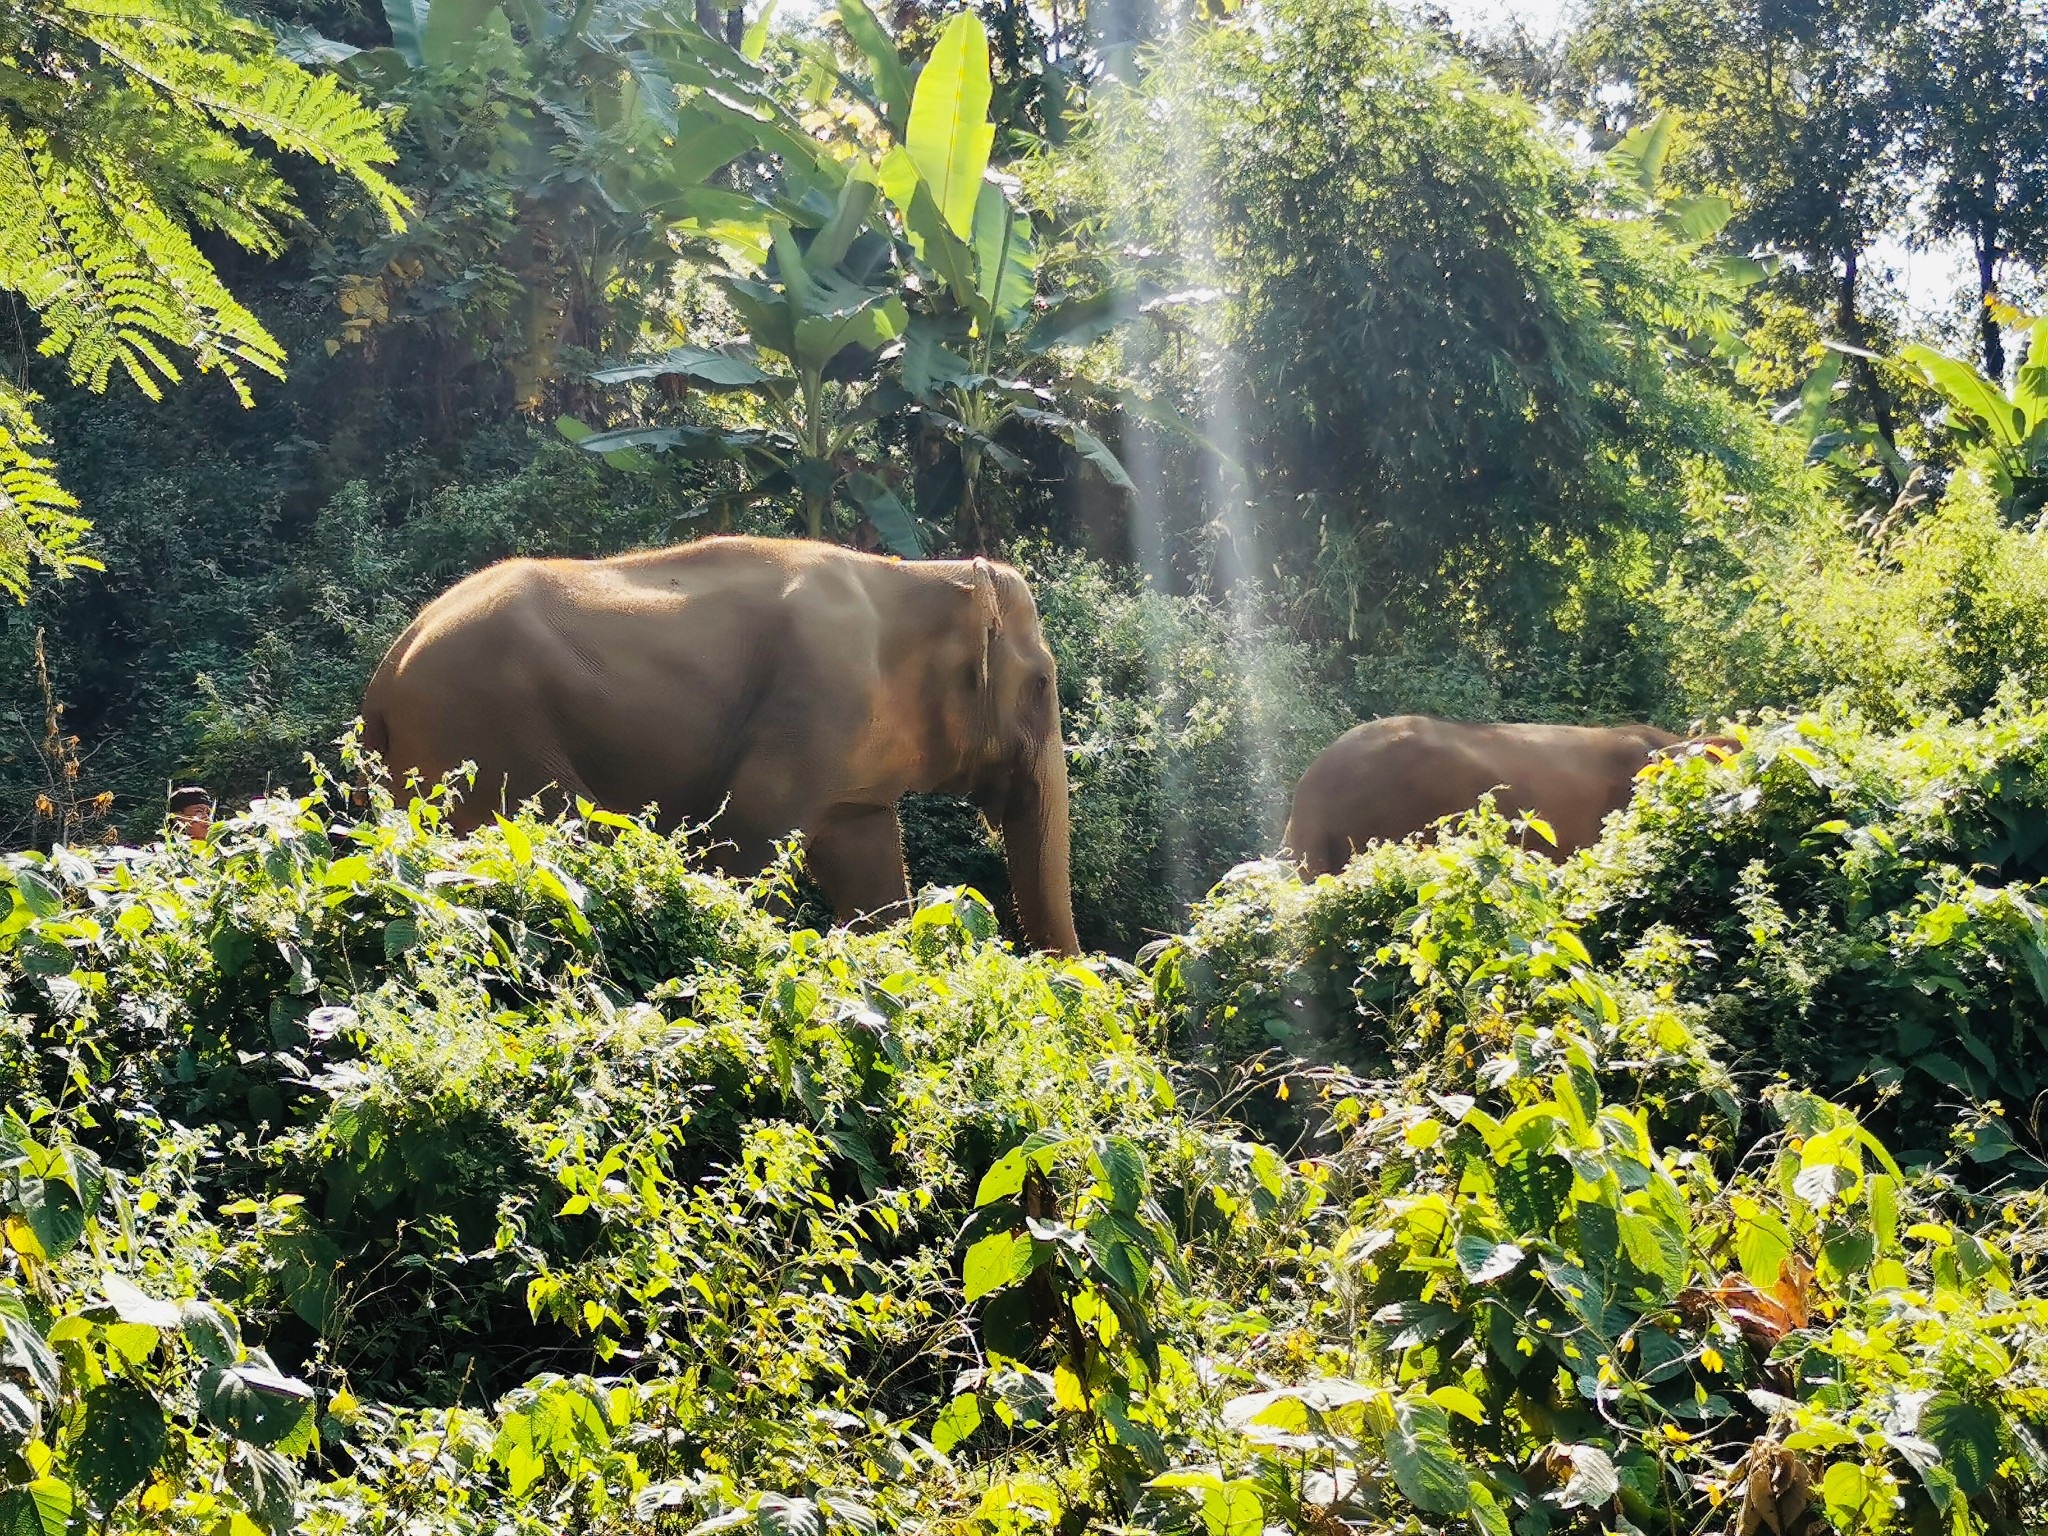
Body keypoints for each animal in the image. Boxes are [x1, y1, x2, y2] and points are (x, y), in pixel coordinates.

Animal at [360, 536, 1081, 958]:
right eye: (1043, 685)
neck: (918, 578)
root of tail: (384, 676)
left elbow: (869, 867)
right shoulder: (812, 702)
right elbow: (746, 845)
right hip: (487, 733)